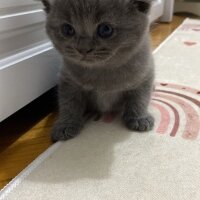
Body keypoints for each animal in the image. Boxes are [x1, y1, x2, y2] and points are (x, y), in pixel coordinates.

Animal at [41, 0, 155, 141]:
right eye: (67, 30)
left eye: (105, 29)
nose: (83, 49)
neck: (102, 70)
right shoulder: (67, 80)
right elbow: (68, 103)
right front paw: (66, 124)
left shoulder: (145, 74)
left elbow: (140, 98)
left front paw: (139, 118)